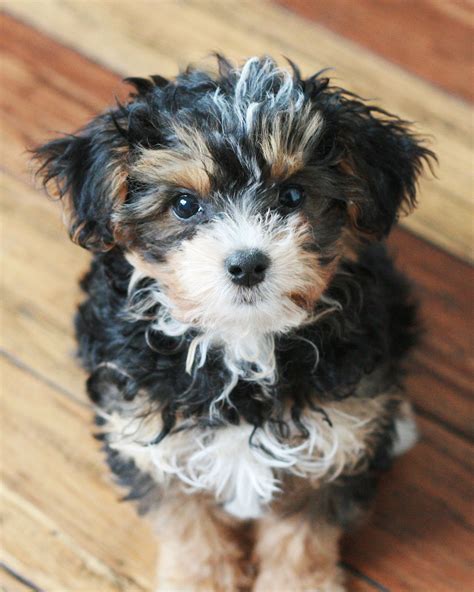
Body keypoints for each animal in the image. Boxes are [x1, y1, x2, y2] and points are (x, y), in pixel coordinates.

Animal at [34, 56, 434, 592]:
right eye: (185, 205)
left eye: (292, 196)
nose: (247, 265)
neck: (243, 339)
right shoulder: (157, 445)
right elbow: (191, 531)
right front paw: (198, 580)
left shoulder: (329, 448)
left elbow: (301, 539)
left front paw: (300, 584)